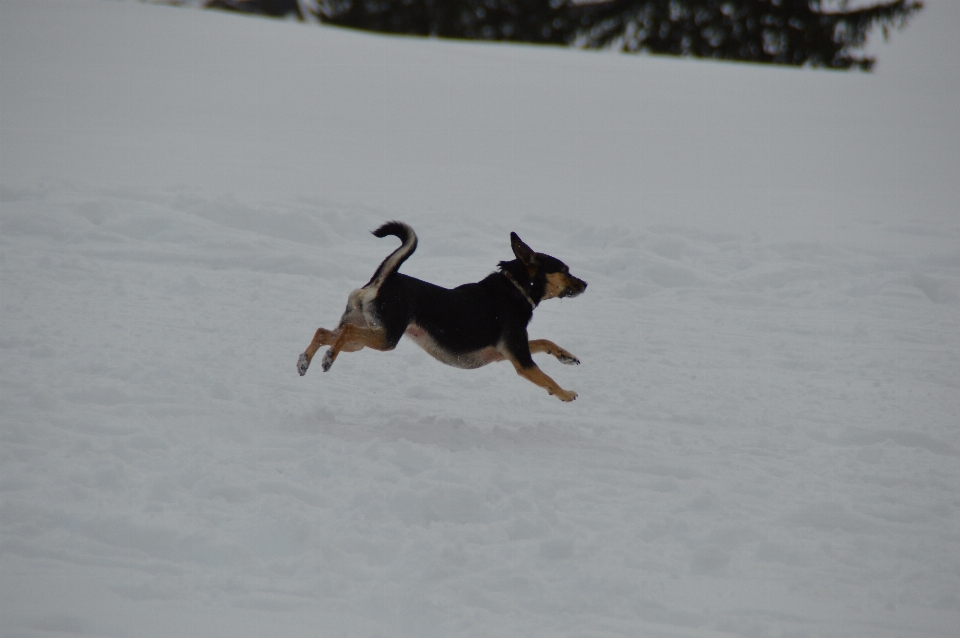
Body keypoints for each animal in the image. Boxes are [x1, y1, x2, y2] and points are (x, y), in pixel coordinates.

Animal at [298, 224, 584, 404]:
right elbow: (548, 379)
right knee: (345, 333)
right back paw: (328, 359)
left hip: (366, 335)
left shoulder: (506, 351)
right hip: (385, 338)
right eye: (565, 270)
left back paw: (305, 361)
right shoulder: (520, 359)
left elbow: (545, 341)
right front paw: (566, 393)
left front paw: (566, 356)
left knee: (325, 332)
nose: (586, 284)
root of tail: (382, 281)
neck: (516, 287)